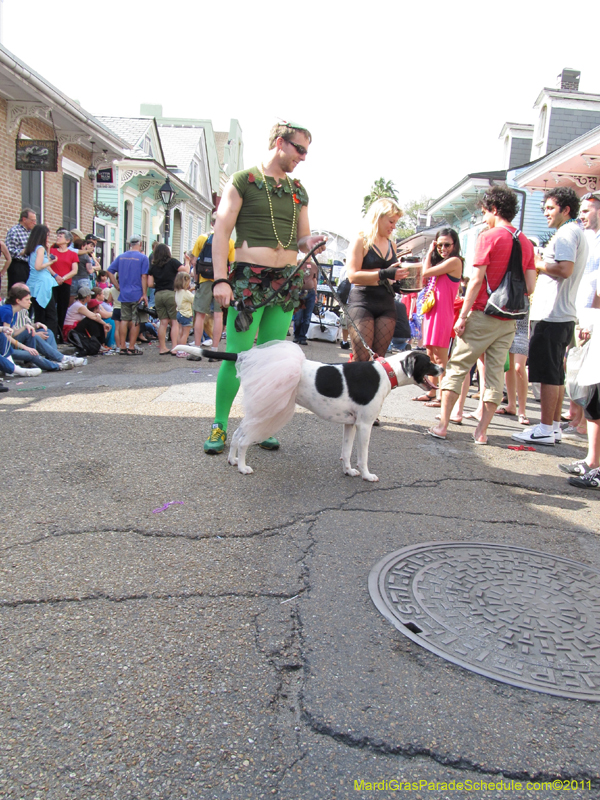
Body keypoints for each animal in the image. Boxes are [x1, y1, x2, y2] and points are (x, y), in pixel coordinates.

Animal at [173, 342, 440, 482]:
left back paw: (233, 461)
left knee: (239, 435)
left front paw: (348, 471)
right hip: (266, 408)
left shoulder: (350, 425)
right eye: (428, 362)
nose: (441, 368)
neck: (386, 371)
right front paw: (366, 474)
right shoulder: (364, 425)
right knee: (245, 438)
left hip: (259, 409)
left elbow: (346, 451)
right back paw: (243, 467)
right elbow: (362, 456)